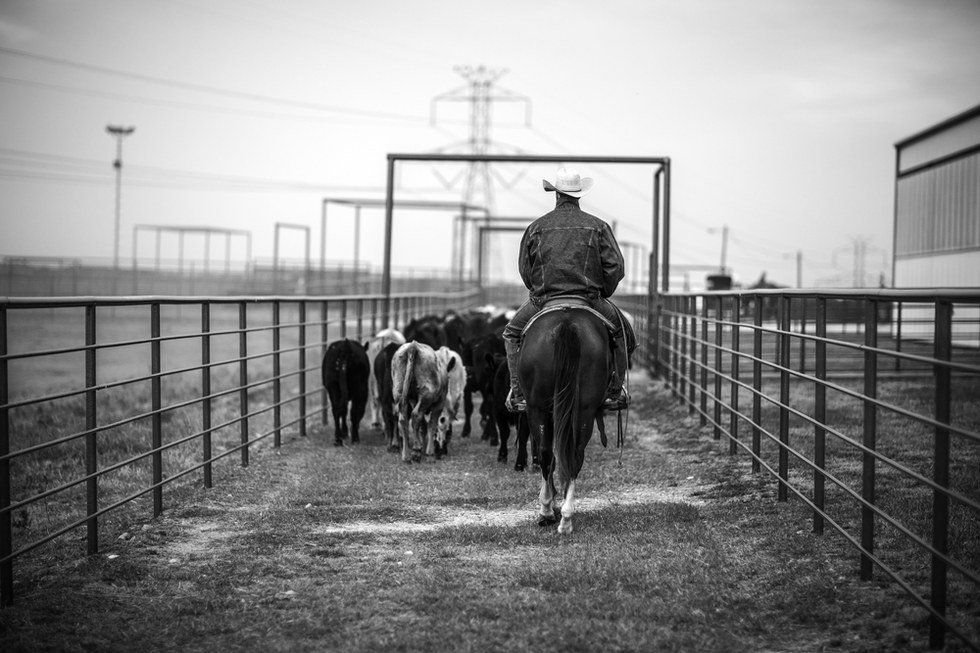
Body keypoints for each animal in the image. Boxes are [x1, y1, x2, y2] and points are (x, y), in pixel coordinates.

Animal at [512, 302, 612, 536]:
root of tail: (567, 325)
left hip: (537, 407)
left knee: (549, 454)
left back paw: (551, 512)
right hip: (582, 408)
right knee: (570, 454)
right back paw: (564, 516)